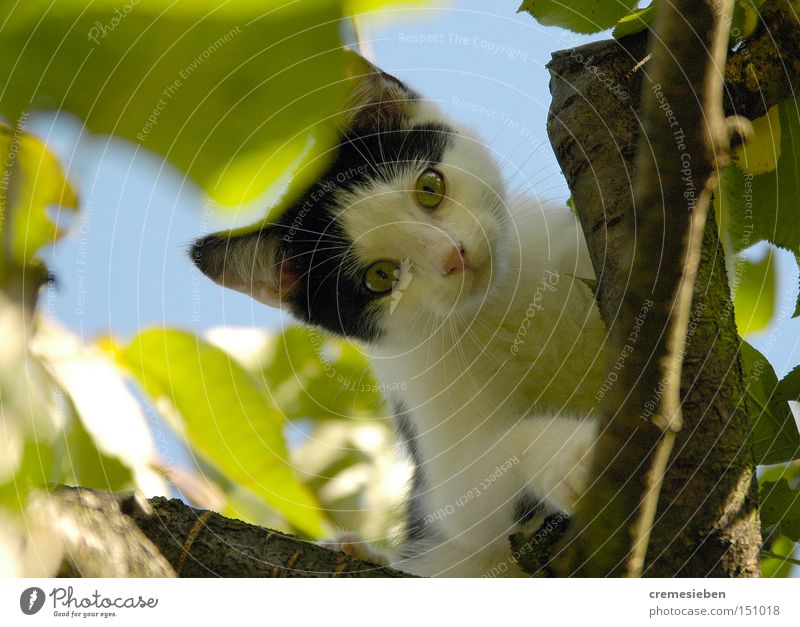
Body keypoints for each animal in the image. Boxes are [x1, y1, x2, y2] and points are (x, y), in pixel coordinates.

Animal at [192, 55, 608, 580]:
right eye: (381, 277)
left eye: (430, 188)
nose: (454, 257)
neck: (502, 308)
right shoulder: (430, 418)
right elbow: (472, 490)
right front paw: (574, 455)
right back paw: (356, 549)